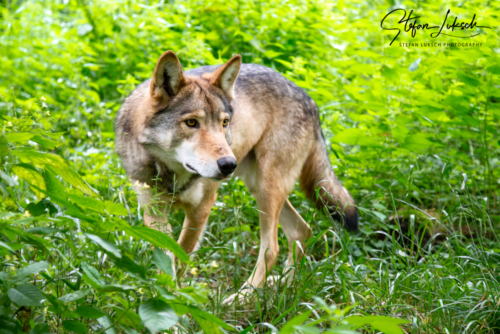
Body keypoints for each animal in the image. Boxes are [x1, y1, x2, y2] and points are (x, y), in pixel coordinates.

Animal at [114, 51, 356, 304]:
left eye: (224, 122)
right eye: (191, 122)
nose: (228, 165)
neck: (173, 174)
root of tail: (308, 98)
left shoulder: (201, 208)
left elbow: (181, 256)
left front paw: (176, 302)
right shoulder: (153, 211)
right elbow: (166, 259)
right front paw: (165, 300)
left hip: (267, 189)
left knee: (272, 248)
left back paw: (243, 296)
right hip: (257, 186)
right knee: (302, 231)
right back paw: (284, 288)